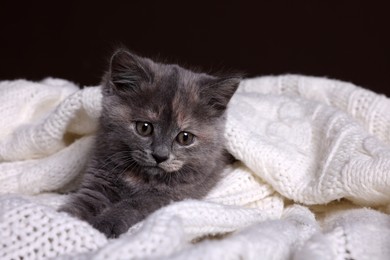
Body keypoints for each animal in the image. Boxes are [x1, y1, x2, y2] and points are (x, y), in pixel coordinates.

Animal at [60, 48, 241, 238]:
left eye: (185, 138)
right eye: (144, 128)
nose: (160, 156)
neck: (139, 176)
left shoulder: (176, 193)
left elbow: (134, 204)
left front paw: (106, 222)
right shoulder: (100, 175)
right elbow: (86, 200)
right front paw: (67, 221)